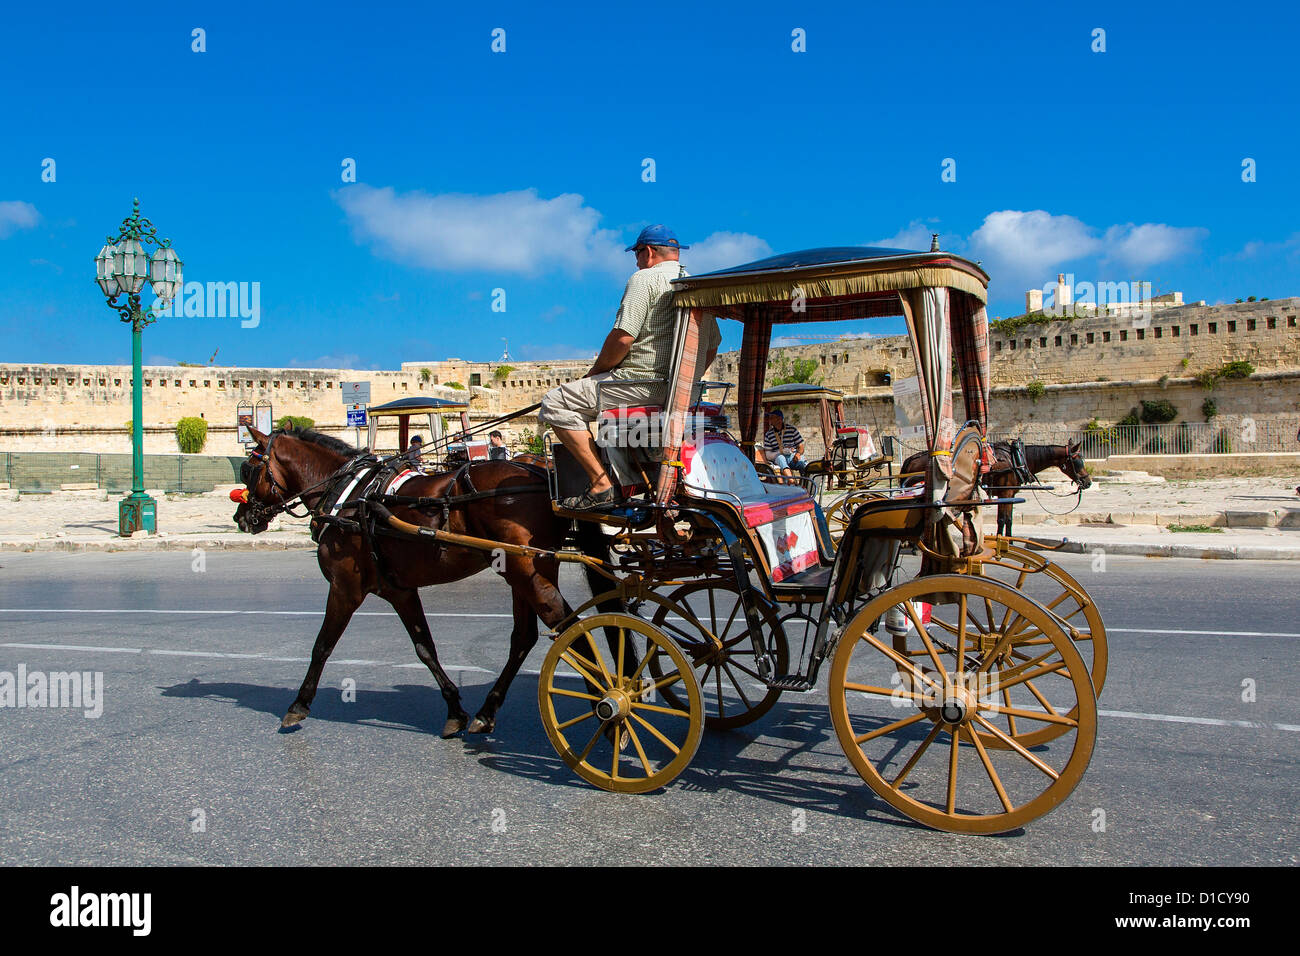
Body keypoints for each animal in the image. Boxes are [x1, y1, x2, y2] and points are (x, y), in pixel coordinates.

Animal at [233, 429, 608, 738]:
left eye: (248, 470)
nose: (242, 518)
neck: (350, 497)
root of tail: (540, 473)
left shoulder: (345, 587)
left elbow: (322, 646)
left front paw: (298, 704)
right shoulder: (399, 590)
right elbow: (424, 647)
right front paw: (454, 710)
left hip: (525, 567)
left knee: (572, 628)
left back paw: (603, 702)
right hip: (524, 569)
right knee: (526, 637)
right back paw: (488, 712)